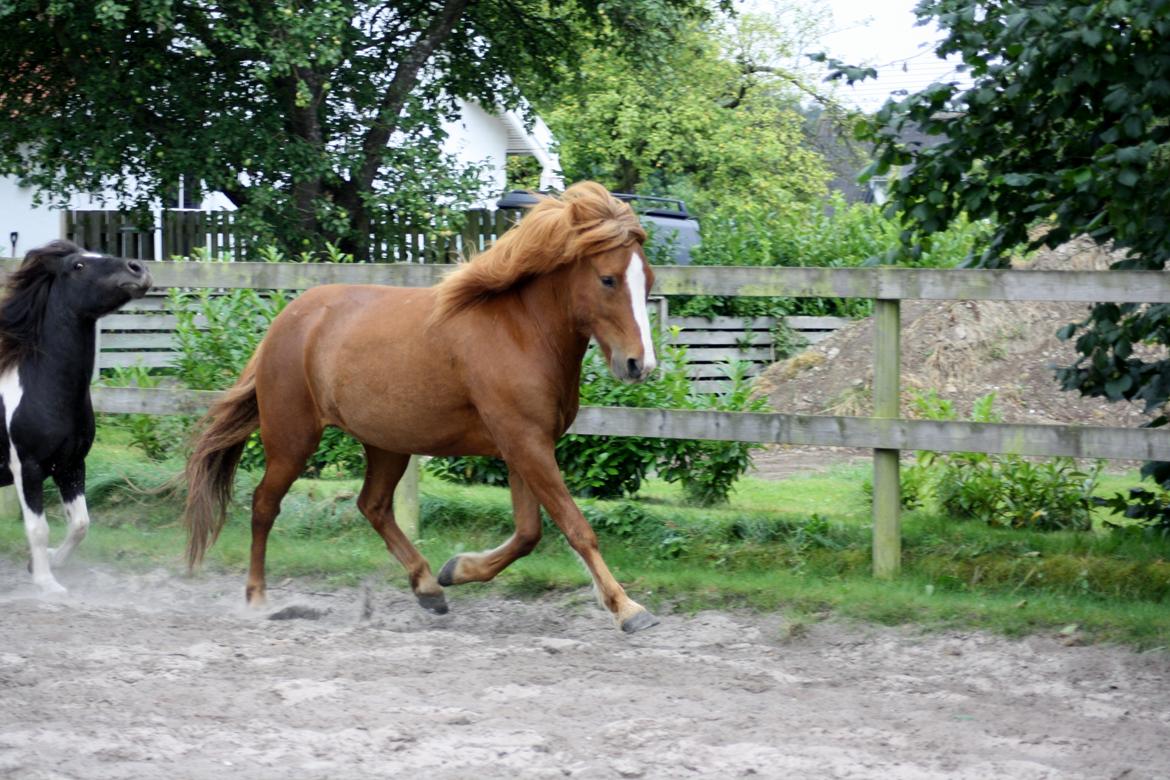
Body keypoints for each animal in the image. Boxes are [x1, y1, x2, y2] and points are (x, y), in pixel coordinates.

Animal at [0, 239, 150, 591]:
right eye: (78, 266)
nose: (138, 269)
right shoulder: (28, 468)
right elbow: (38, 529)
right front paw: (47, 583)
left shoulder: (71, 465)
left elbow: (81, 523)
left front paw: (48, 562)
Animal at [181, 184, 659, 636]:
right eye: (608, 280)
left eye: (649, 280)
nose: (640, 364)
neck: (523, 333)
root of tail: (284, 322)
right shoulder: (525, 443)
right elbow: (576, 528)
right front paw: (629, 610)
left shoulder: (526, 445)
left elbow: (528, 533)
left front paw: (455, 570)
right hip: (292, 437)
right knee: (265, 504)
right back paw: (258, 598)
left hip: (386, 442)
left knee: (373, 505)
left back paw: (428, 586)